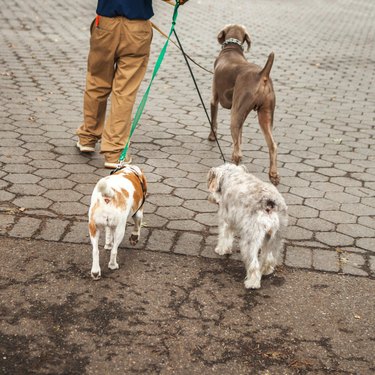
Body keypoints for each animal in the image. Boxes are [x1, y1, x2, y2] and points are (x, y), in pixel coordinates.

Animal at [210, 23, 280, 185]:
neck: (231, 49)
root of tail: (262, 75)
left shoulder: (214, 99)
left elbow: (213, 121)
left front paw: (211, 137)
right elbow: (240, 138)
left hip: (235, 115)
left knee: (238, 153)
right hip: (264, 114)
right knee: (272, 145)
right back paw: (273, 174)